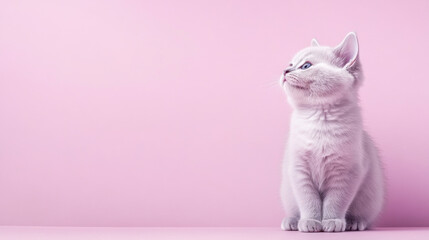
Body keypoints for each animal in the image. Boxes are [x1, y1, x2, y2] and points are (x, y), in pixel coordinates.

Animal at [280, 32, 382, 232]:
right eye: (290, 64)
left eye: (306, 66)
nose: (285, 71)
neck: (319, 119)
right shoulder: (299, 170)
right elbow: (308, 201)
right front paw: (310, 222)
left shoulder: (346, 172)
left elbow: (335, 201)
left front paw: (331, 221)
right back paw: (292, 221)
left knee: (364, 217)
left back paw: (354, 222)